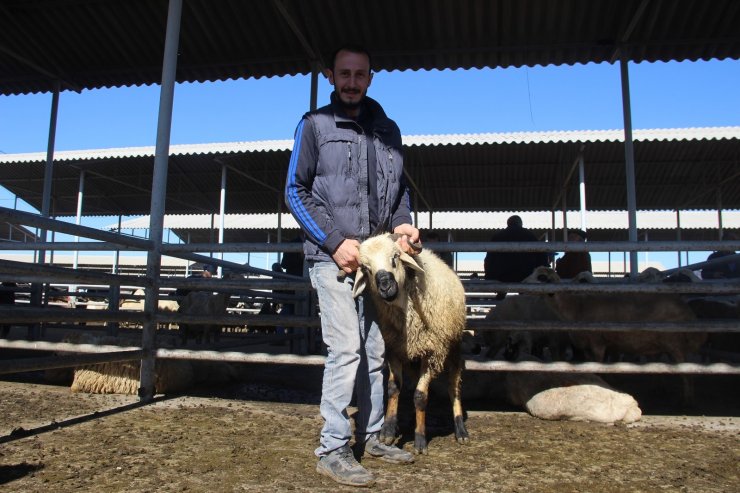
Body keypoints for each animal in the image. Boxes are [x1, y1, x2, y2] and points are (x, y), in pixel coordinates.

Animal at [352, 233, 468, 452]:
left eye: (395, 258)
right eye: (366, 268)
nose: (385, 286)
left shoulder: (433, 352)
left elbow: (420, 396)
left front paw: (420, 439)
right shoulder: (394, 349)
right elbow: (393, 388)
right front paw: (388, 431)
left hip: (454, 344)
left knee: (454, 387)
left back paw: (461, 430)